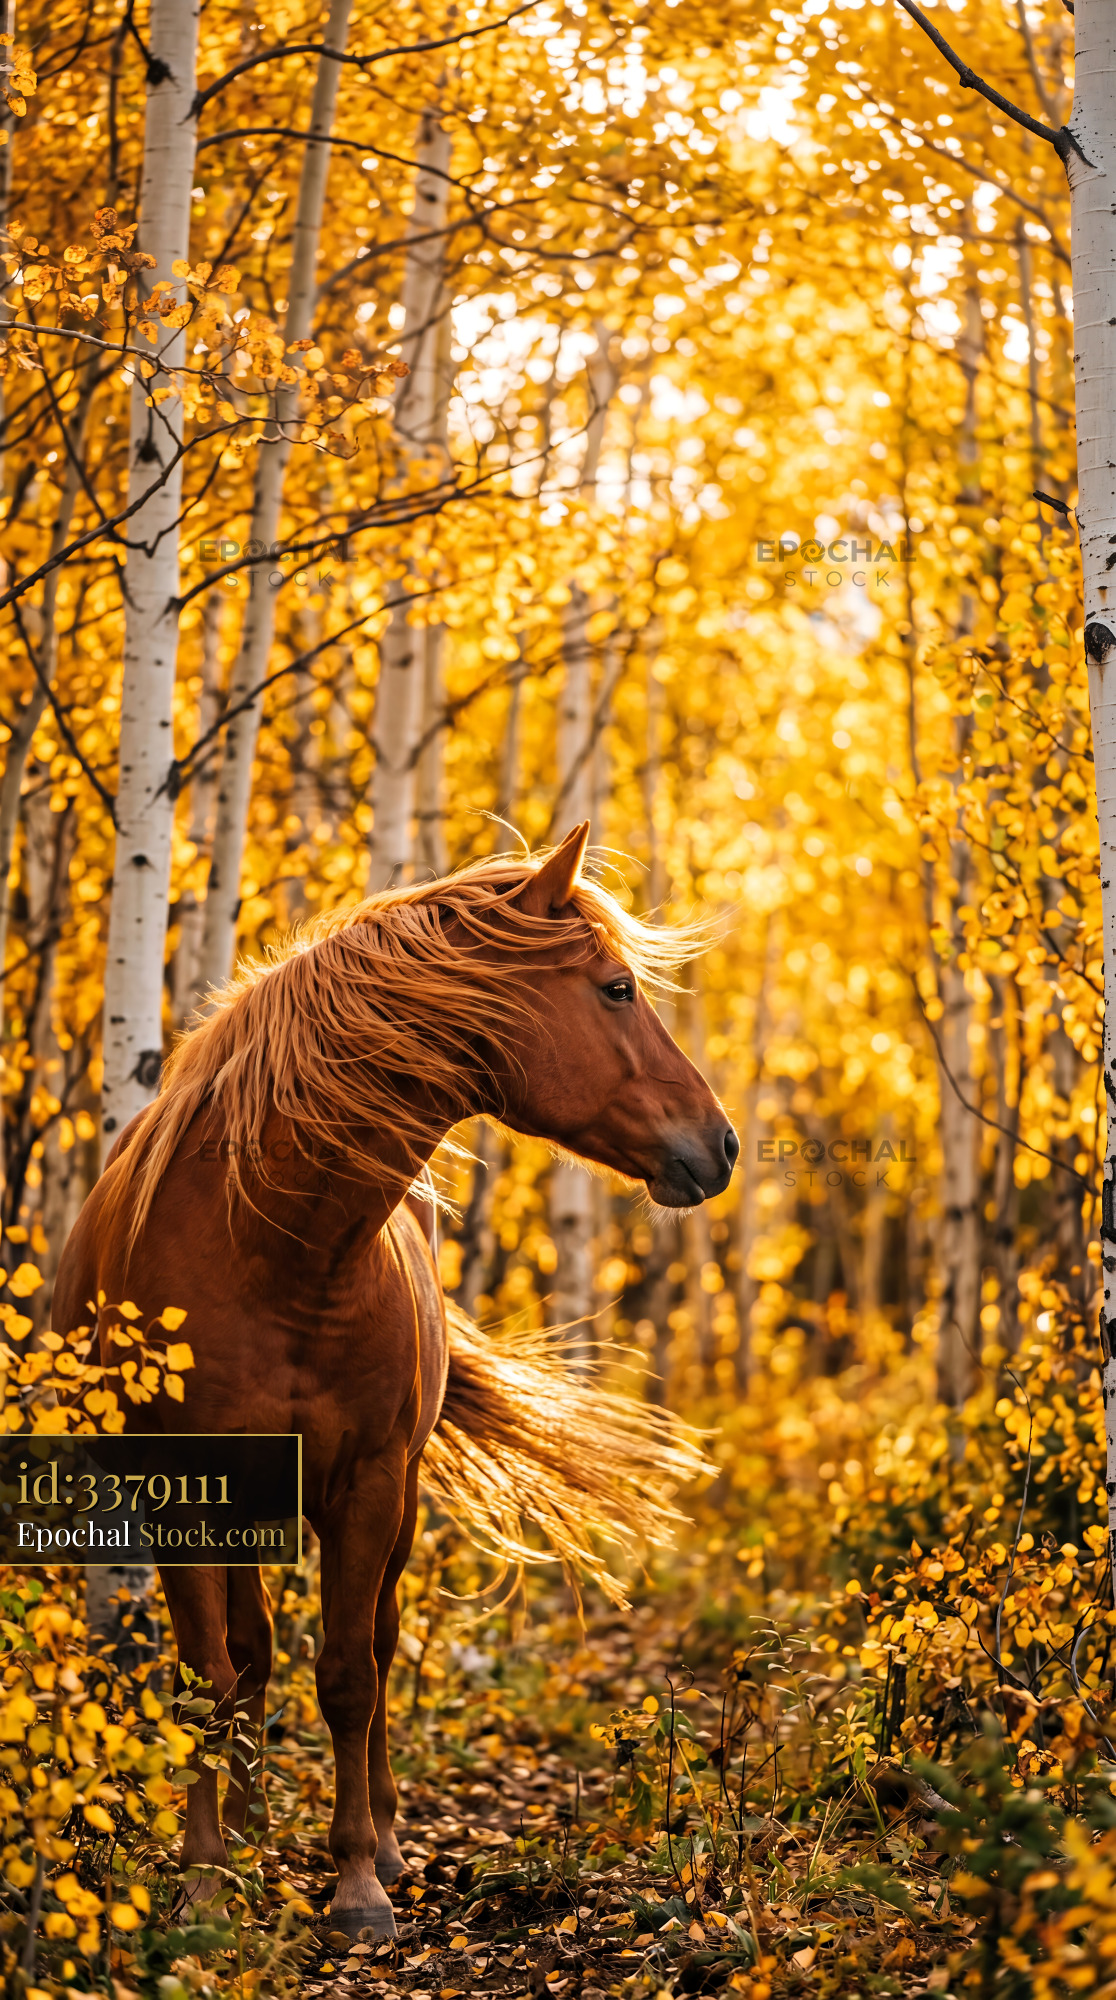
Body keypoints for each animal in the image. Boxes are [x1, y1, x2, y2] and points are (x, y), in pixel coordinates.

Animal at [53, 823, 738, 1938]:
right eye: (616, 989)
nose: (719, 1143)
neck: (270, 1249)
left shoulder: (367, 1486)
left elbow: (347, 1672)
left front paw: (359, 1882)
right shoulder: (186, 1497)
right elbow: (210, 1679)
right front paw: (204, 1878)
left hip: (398, 1498)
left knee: (369, 1645)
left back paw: (381, 1833)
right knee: (251, 1655)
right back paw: (248, 1829)